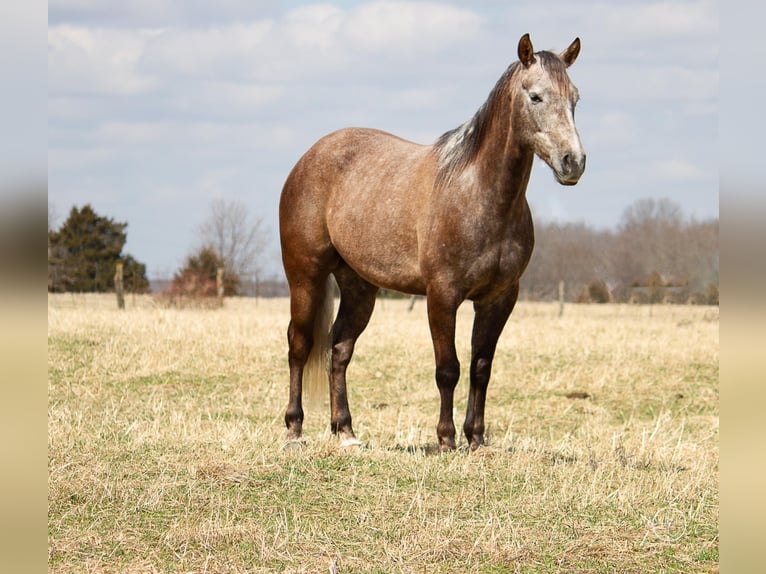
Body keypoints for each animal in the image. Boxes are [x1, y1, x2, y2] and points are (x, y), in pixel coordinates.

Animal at [282, 33, 588, 452]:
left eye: (575, 98)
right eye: (536, 96)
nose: (573, 161)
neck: (479, 194)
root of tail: (308, 158)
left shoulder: (499, 298)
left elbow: (480, 368)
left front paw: (476, 438)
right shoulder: (442, 295)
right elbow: (448, 369)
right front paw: (446, 439)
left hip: (359, 287)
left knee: (339, 349)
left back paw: (345, 431)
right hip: (305, 277)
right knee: (299, 344)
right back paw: (294, 431)